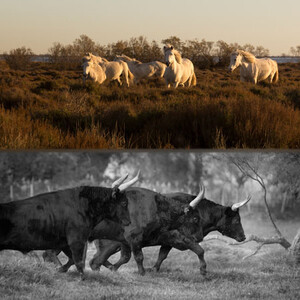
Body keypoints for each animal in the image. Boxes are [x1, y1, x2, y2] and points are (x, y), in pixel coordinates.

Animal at [0, 186, 131, 278]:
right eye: (124, 203)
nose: (129, 221)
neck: (83, 206)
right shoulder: (76, 241)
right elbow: (79, 261)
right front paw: (82, 277)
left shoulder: (66, 243)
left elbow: (73, 260)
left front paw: (60, 269)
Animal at [43, 188, 247, 276]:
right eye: (237, 220)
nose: (243, 236)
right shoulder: (180, 239)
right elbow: (200, 250)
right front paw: (203, 270)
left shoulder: (165, 242)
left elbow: (162, 255)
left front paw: (153, 269)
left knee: (94, 260)